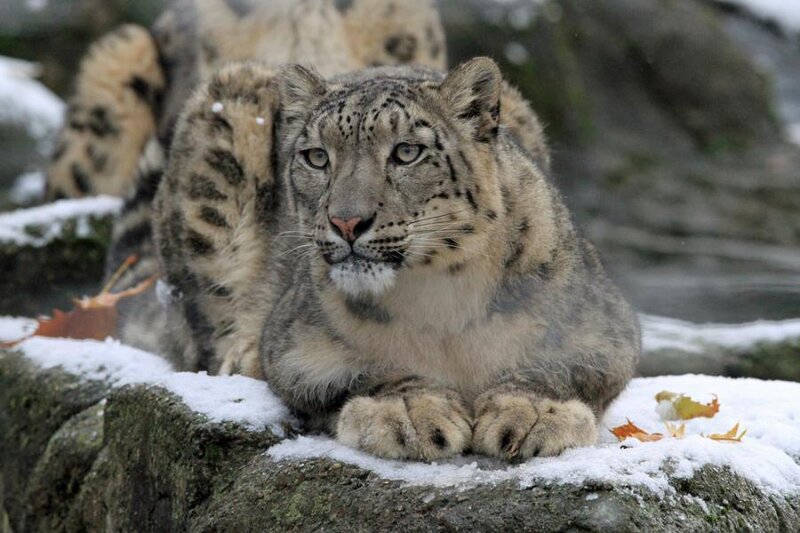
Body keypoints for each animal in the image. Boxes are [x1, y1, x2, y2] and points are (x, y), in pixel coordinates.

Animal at [144, 57, 639, 462]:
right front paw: (411, 411)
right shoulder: (296, 344)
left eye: (406, 152)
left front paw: (532, 414)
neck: (441, 303)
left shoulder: (604, 331)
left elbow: (556, 368)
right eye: (317, 157)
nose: (346, 222)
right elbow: (369, 370)